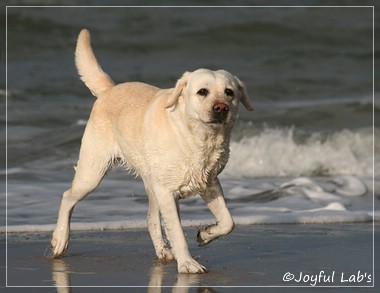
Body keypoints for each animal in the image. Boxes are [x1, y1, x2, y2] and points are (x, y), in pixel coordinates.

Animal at [50, 28, 252, 272]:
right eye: (202, 92)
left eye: (229, 92)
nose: (221, 108)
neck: (197, 139)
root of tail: (110, 89)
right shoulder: (167, 192)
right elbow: (177, 233)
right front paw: (188, 264)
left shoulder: (210, 182)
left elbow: (228, 221)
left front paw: (205, 234)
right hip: (92, 172)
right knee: (67, 196)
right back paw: (60, 240)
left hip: (150, 182)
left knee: (150, 218)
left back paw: (163, 251)